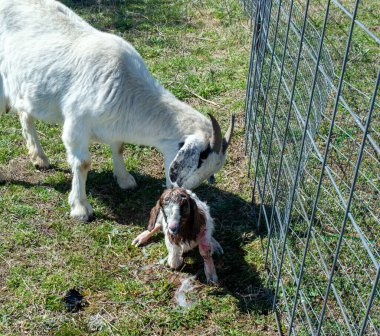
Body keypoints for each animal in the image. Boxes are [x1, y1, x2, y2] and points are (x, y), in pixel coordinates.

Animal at [0, 0, 235, 222]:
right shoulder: (77, 124)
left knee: (25, 114)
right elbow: (82, 163)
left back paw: (39, 157)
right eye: (199, 162)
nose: (181, 195)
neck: (126, 88)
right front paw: (81, 208)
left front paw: (124, 179)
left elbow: (119, 147)